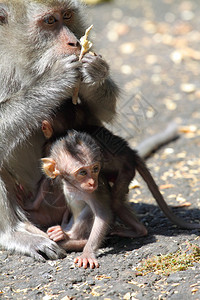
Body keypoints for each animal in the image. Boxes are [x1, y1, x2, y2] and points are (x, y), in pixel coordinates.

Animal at [0, 0, 119, 260]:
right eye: (50, 21)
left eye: (67, 15)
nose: (74, 43)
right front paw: (54, 81)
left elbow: (101, 112)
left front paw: (94, 71)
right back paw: (13, 234)